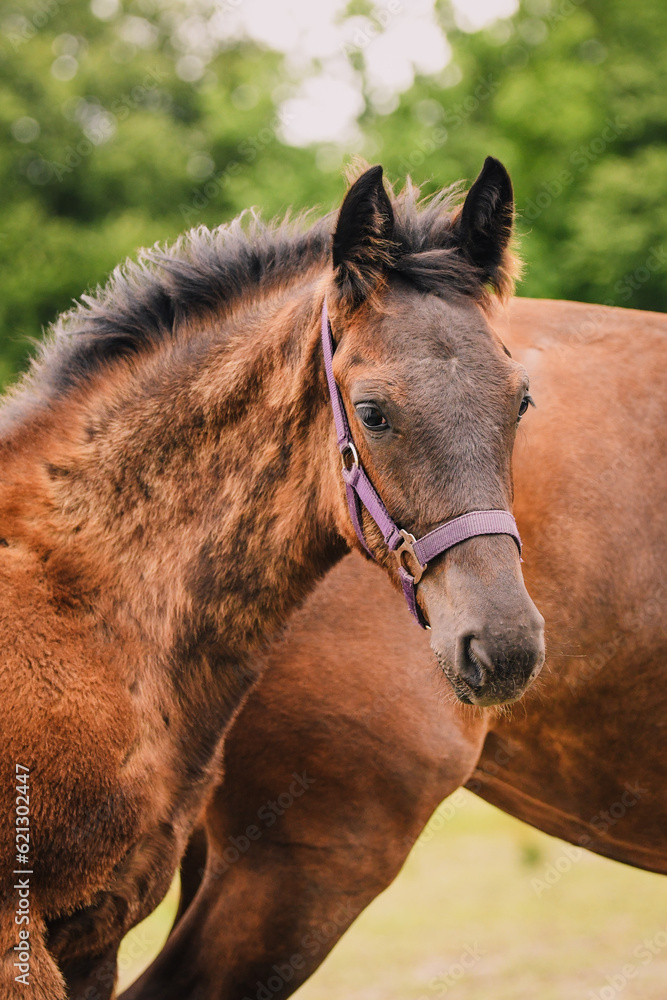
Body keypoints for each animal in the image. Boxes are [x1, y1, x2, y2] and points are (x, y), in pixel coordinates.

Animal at [0, 158, 545, 998]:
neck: (82, 606)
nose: (506, 648)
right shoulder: (18, 936)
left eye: (518, 401)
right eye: (372, 412)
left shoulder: (95, 935)